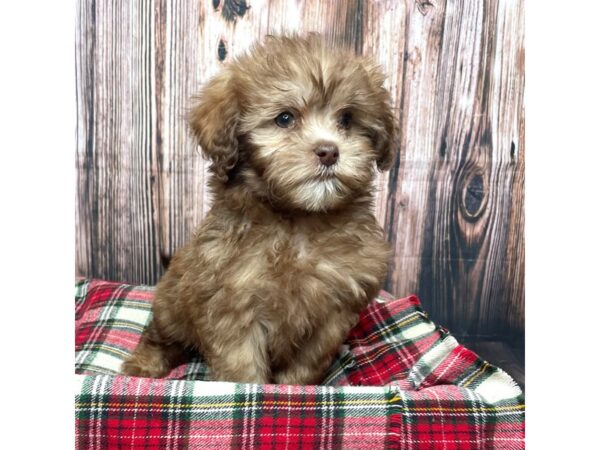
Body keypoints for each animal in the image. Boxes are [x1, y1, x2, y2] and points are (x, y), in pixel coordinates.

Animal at [120, 35, 396, 384]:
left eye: (346, 119)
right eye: (285, 118)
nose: (329, 151)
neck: (298, 219)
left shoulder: (334, 312)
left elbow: (308, 363)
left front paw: (293, 387)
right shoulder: (231, 304)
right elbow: (241, 365)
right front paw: (249, 389)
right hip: (171, 302)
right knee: (162, 336)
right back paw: (145, 364)